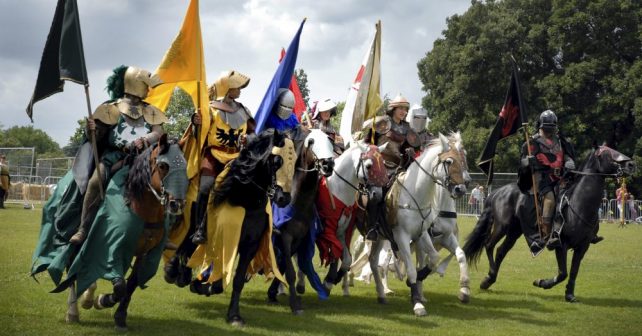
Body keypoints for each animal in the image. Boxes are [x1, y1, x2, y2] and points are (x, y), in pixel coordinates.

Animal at [368, 133, 468, 316]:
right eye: (448, 161)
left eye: (463, 159)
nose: (461, 189)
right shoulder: (403, 237)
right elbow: (413, 267)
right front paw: (417, 300)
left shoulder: (435, 236)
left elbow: (451, 256)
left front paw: (464, 290)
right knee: (378, 263)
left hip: (381, 238)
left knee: (374, 261)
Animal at [462, 144, 632, 302]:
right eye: (606, 153)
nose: (631, 164)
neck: (579, 204)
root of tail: (497, 192)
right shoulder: (561, 245)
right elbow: (563, 273)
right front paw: (541, 283)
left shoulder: (583, 247)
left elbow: (573, 272)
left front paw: (569, 294)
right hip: (502, 226)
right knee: (489, 245)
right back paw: (488, 278)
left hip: (514, 231)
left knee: (501, 251)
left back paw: (489, 280)